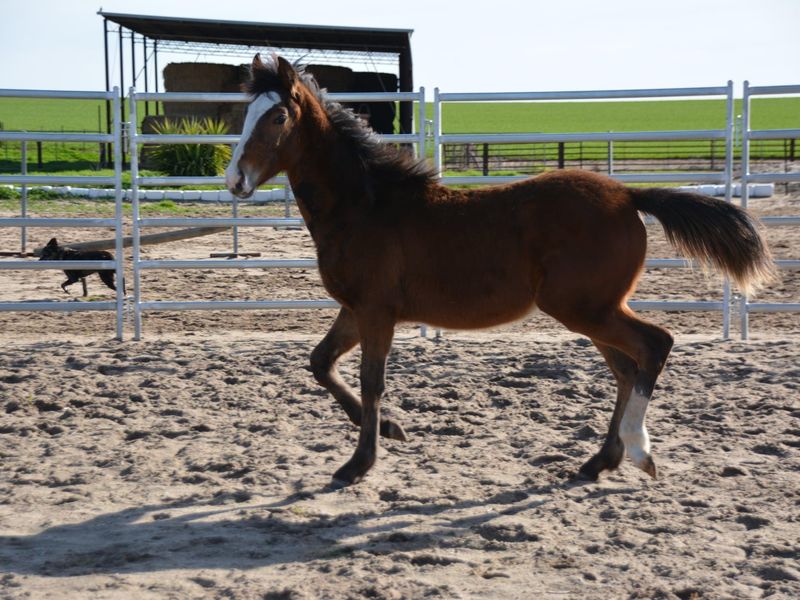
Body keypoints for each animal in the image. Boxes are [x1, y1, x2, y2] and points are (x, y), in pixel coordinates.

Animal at [225, 54, 775, 487]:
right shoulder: (355, 309)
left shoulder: (377, 312)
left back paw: (637, 451)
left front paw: (359, 463)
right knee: (627, 365)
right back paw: (601, 460)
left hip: (583, 307)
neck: (365, 206)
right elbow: (321, 363)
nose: (235, 180)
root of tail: (628, 195)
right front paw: (390, 430)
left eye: (277, 116)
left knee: (653, 345)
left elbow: (371, 381)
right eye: (243, 114)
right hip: (595, 309)